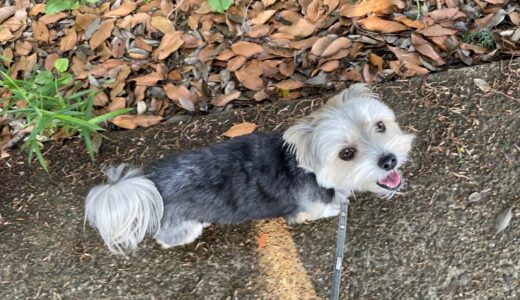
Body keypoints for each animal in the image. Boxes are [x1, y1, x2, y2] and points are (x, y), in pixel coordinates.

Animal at [87, 83, 416, 254]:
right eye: (347, 153)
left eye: (380, 126)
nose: (389, 160)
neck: (307, 168)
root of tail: (150, 183)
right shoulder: (307, 208)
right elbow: (319, 211)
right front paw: (335, 209)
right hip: (180, 226)